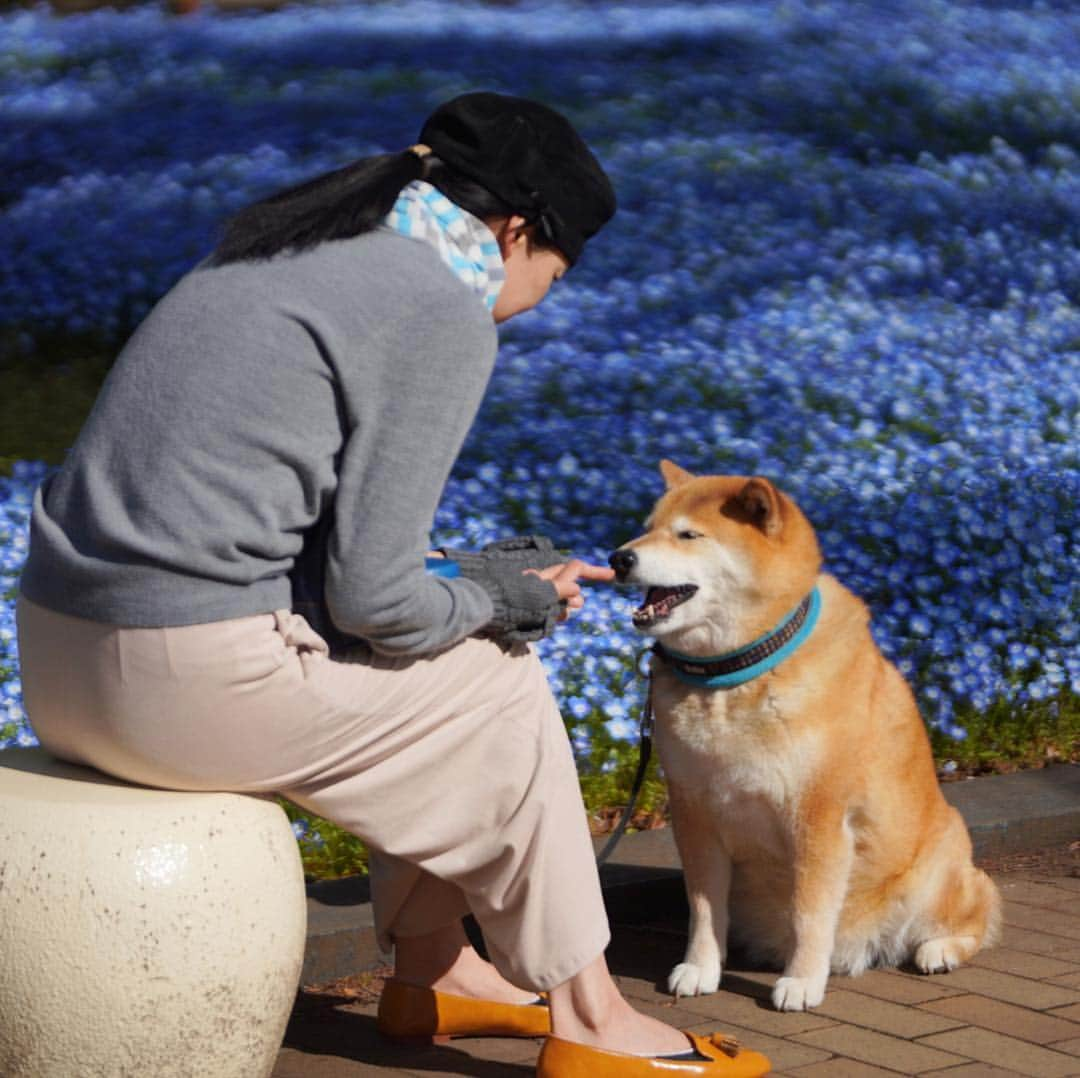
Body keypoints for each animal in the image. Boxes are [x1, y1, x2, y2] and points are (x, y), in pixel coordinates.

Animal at [613, 462, 997, 1011]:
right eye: (646, 528)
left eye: (688, 535)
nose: (618, 558)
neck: (735, 672)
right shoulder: (694, 814)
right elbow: (704, 908)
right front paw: (701, 968)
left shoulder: (818, 817)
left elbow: (809, 912)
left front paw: (801, 981)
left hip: (937, 864)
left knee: (977, 912)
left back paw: (939, 949)